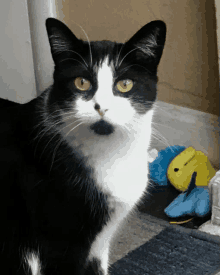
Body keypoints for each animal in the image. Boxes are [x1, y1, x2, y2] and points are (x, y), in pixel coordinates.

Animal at [0, 18, 165, 274]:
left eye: (125, 84)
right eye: (81, 82)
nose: (102, 107)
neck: (110, 154)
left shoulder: (99, 245)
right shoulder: (59, 246)